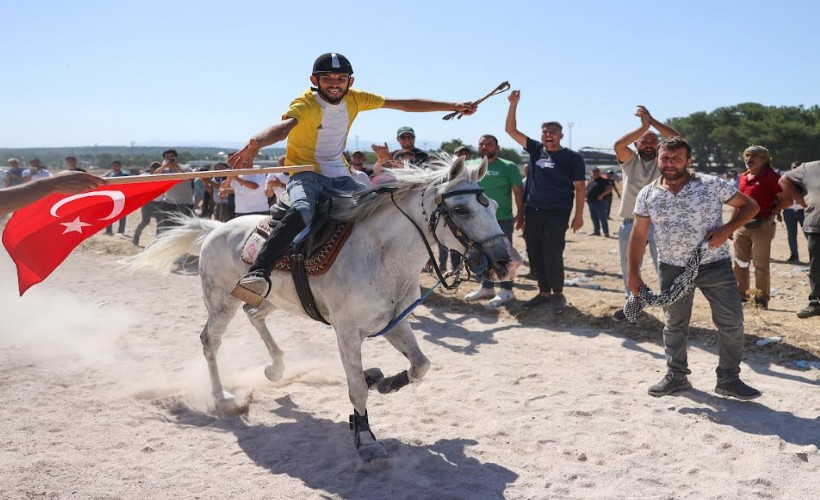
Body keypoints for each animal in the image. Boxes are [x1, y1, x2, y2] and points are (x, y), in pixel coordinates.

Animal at [133, 155, 520, 460]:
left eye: (493, 207)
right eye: (461, 209)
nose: (509, 262)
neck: (381, 254)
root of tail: (216, 227)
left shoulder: (395, 321)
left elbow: (420, 365)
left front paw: (384, 381)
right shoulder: (347, 331)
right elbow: (357, 388)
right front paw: (366, 438)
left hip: (270, 299)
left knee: (254, 315)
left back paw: (276, 367)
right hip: (220, 300)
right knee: (210, 340)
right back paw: (222, 397)